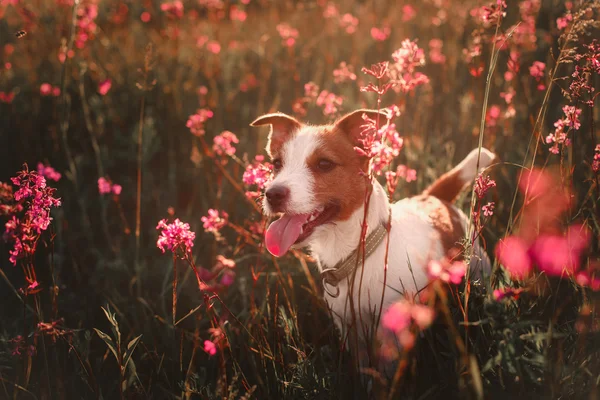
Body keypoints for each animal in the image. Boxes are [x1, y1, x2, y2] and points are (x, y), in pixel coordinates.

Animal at [248, 109, 492, 350]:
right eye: (276, 163)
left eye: (324, 164)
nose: (272, 194)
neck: (356, 255)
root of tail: (434, 198)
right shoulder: (350, 329)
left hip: (478, 267)